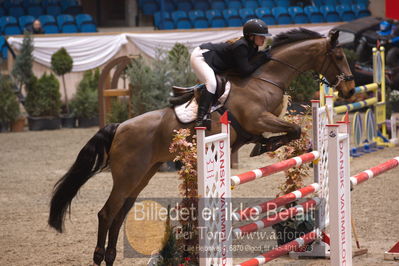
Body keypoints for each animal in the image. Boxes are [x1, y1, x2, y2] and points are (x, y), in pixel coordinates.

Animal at [49, 29, 356, 266]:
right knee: (107, 213)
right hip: (128, 175)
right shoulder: (258, 119)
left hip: (142, 175)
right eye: (339, 57)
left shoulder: (256, 127)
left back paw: (111, 257)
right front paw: (266, 146)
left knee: (119, 214)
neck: (263, 79)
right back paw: (99, 256)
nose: (350, 90)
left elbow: (291, 132)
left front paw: (265, 145)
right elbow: (292, 130)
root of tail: (120, 127)